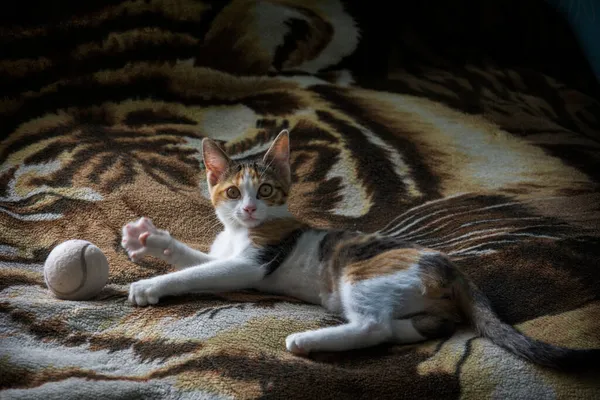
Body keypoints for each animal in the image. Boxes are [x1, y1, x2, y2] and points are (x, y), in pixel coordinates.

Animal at [123, 130, 600, 370]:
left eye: (267, 190)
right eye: (233, 191)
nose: (250, 208)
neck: (242, 231)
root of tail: (450, 265)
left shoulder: (251, 265)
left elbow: (196, 274)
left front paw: (151, 285)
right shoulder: (228, 255)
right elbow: (197, 259)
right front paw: (148, 239)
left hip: (362, 274)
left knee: (374, 327)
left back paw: (307, 341)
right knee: (412, 327)